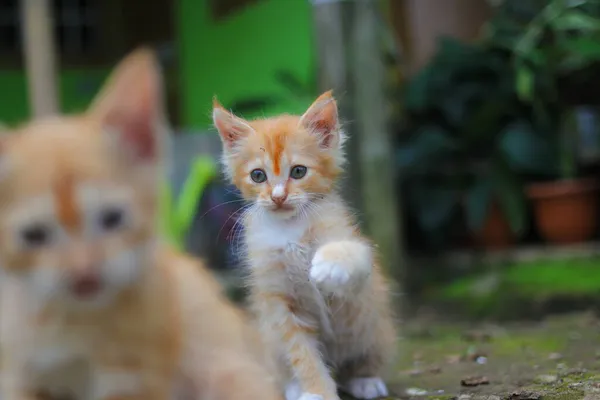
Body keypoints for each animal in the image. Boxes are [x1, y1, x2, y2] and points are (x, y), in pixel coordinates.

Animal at [0, 48, 282, 400]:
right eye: (34, 235)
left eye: (112, 218)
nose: (84, 275)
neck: (75, 321)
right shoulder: (16, 370)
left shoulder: (136, 374)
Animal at [213, 91, 396, 400]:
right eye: (258, 176)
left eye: (298, 171)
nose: (278, 197)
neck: (289, 229)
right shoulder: (278, 302)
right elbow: (303, 355)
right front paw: (317, 391)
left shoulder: (354, 247)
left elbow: (351, 253)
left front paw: (328, 266)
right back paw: (295, 387)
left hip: (375, 324)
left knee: (368, 357)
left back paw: (365, 379)